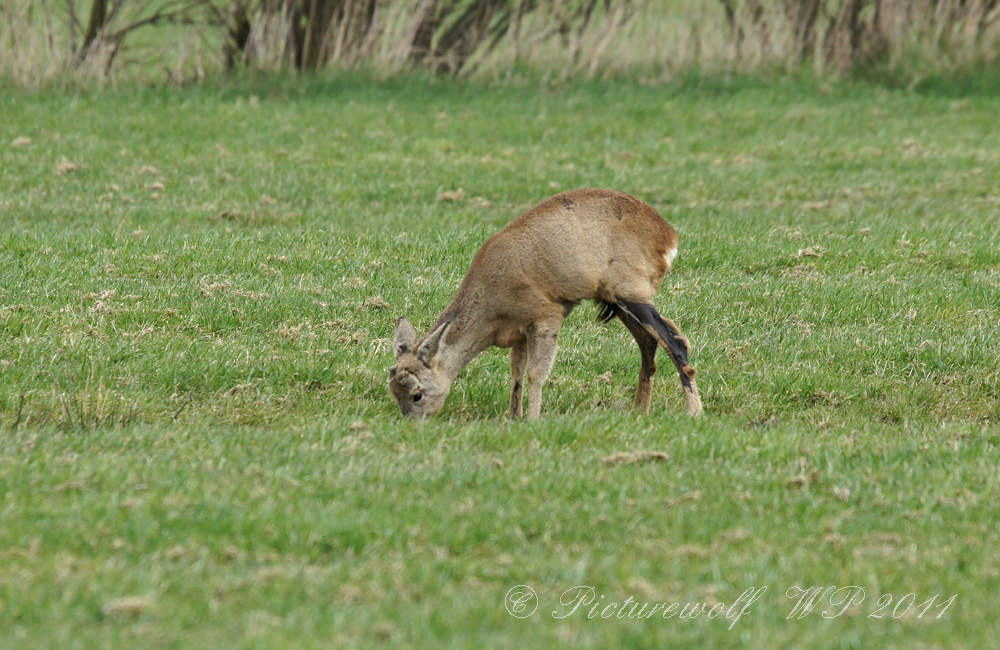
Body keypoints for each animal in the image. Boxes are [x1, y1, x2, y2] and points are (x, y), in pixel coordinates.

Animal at [386, 187, 700, 420]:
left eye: (417, 394)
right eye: (394, 393)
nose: (413, 425)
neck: (490, 301)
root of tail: (668, 235)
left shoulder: (547, 314)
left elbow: (536, 373)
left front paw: (532, 420)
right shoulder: (519, 333)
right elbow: (516, 374)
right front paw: (513, 418)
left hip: (629, 292)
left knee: (674, 340)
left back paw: (694, 411)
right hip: (617, 299)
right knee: (649, 343)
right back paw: (639, 412)